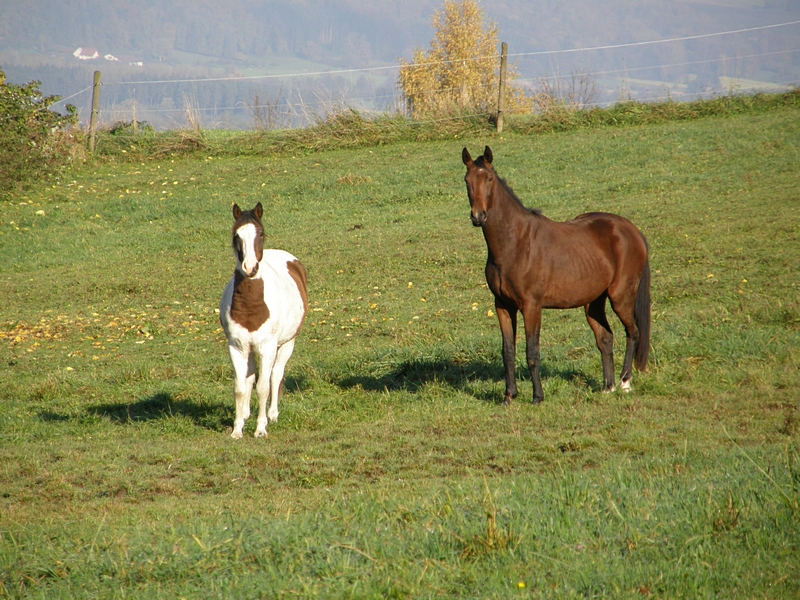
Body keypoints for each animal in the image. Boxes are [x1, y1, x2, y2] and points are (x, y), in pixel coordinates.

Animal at [220, 204, 308, 438]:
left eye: (261, 233)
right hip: (250, 349)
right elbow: (240, 387)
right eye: (236, 235)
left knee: (276, 375)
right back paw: (246, 414)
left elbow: (263, 387)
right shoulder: (237, 347)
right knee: (250, 377)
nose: (249, 267)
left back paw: (273, 415)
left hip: (286, 344)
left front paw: (261, 428)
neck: (251, 307)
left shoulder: (267, 348)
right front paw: (237, 428)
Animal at [462, 145, 648, 404]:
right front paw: (509, 396)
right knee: (605, 339)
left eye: (489, 179)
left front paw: (537, 397)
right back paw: (608, 386)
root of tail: (632, 230)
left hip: (621, 297)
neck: (515, 243)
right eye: (467, 180)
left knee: (633, 332)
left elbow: (532, 351)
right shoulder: (502, 305)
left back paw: (625, 382)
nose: (478, 217)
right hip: (593, 303)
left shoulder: (531, 306)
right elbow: (507, 351)